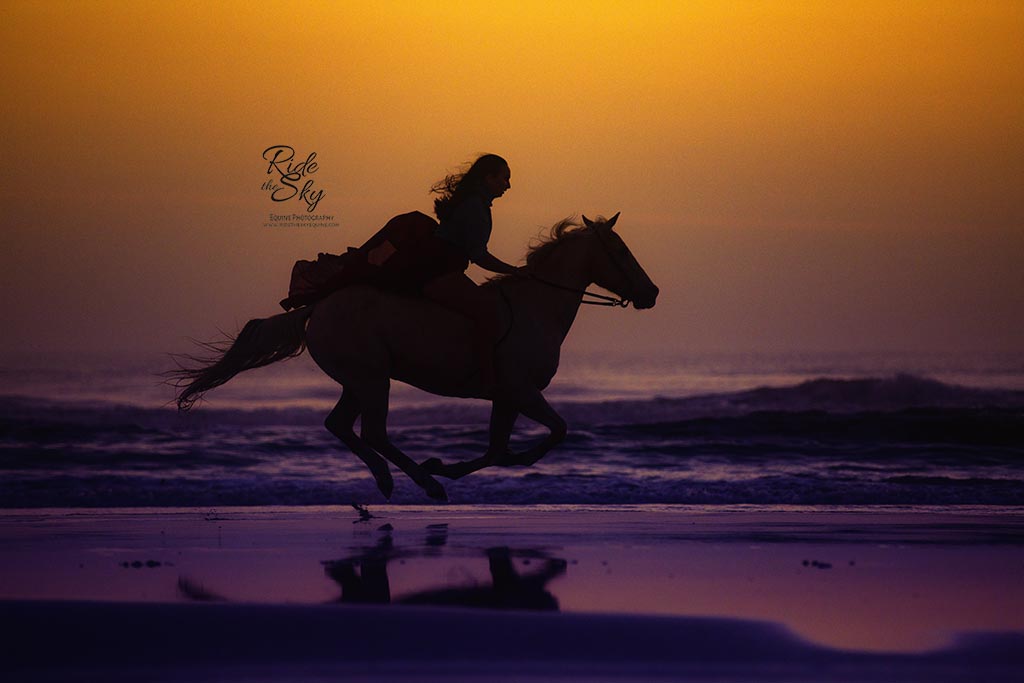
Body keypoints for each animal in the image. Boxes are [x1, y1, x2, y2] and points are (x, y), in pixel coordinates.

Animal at [173, 214, 659, 501]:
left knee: (340, 425)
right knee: (373, 431)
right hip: (373, 379)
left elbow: (498, 450)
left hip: (359, 380)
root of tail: (316, 309)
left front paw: (448, 466)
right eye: (620, 251)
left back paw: (388, 479)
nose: (651, 293)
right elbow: (552, 434)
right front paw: (441, 468)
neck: (535, 308)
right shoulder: (521, 392)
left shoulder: (508, 398)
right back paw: (423, 483)